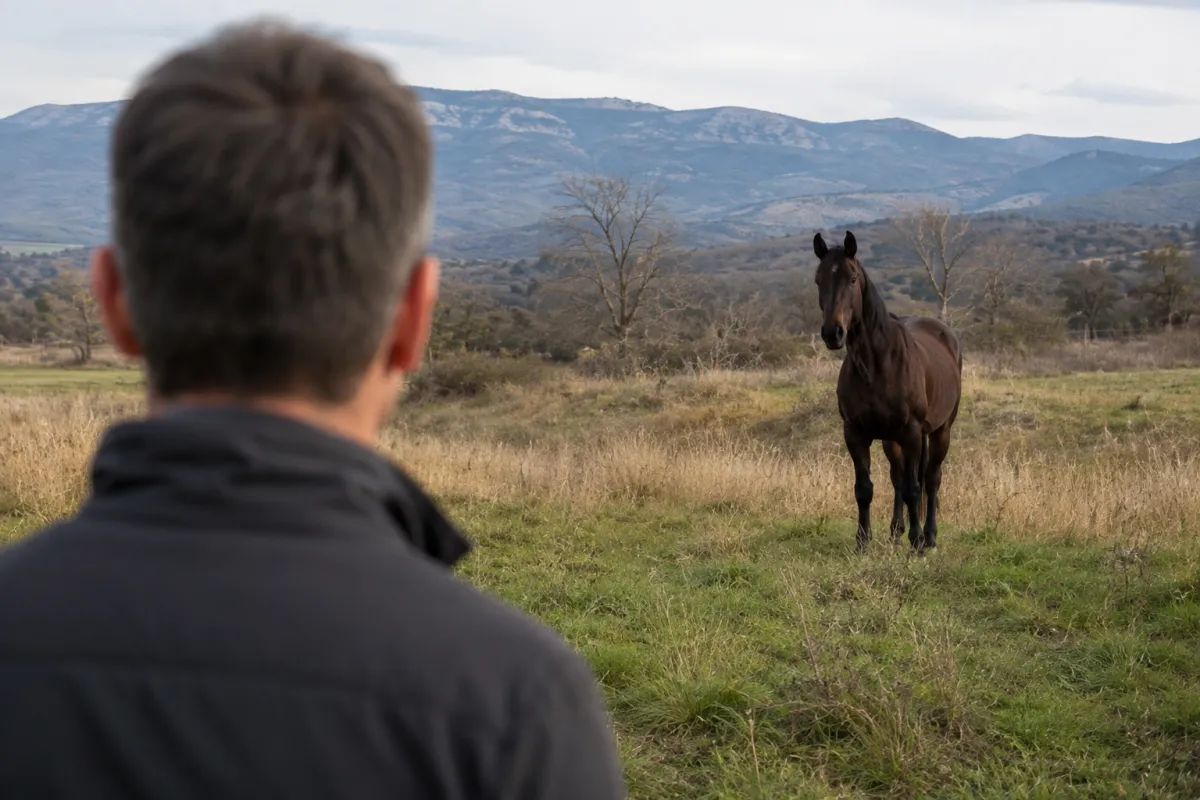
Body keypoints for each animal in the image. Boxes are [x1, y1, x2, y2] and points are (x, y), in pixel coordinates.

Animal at [812, 230, 963, 555]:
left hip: (940, 430)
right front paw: (862, 542)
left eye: (853, 278)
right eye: (818, 279)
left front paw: (916, 543)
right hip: (891, 440)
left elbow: (914, 489)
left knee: (931, 479)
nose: (833, 334)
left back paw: (929, 536)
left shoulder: (912, 432)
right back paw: (896, 532)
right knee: (898, 479)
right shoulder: (855, 433)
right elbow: (864, 488)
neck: (877, 365)